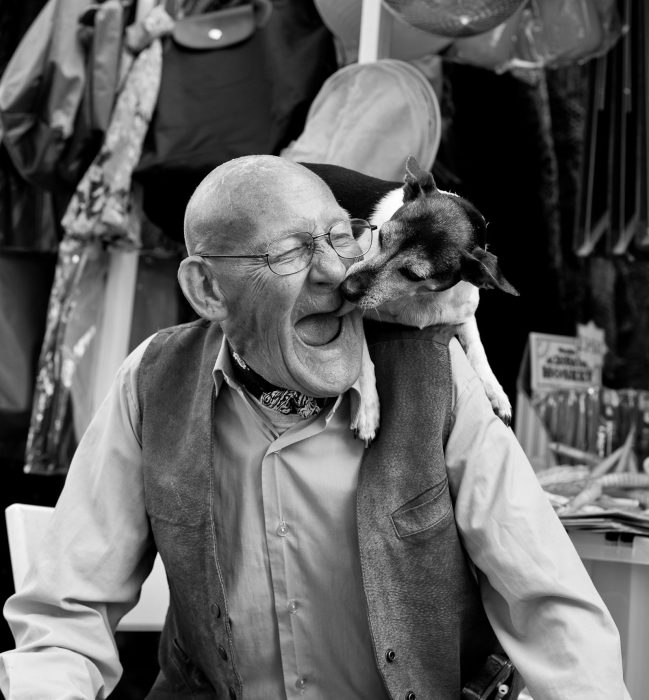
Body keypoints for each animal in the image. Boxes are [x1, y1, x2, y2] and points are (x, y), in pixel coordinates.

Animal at [302, 157, 520, 442]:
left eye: (413, 274)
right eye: (381, 236)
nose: (346, 290)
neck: (420, 298)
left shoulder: (464, 314)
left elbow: (477, 350)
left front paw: (494, 391)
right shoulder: (353, 311)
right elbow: (362, 358)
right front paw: (368, 409)